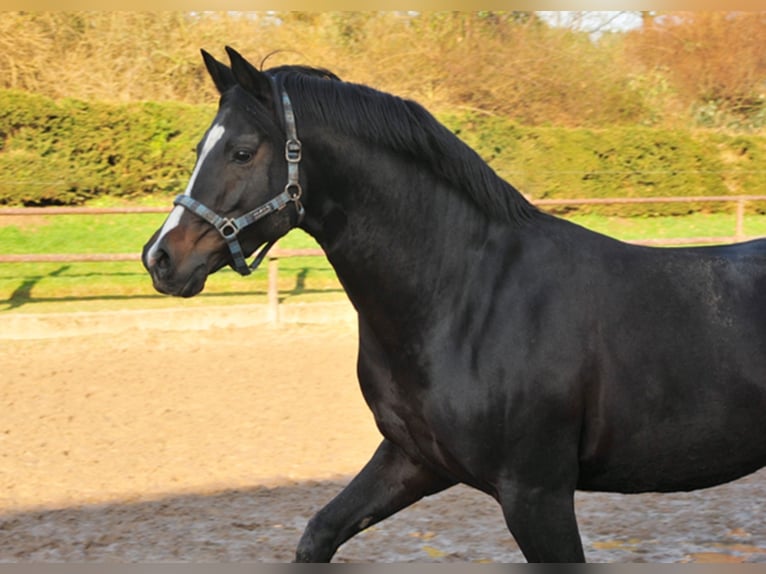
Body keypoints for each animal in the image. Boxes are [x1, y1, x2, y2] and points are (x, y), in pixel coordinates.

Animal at [144, 47, 766, 564]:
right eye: (199, 148)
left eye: (242, 152)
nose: (161, 257)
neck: (466, 298)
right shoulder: (412, 459)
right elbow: (319, 533)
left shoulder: (536, 495)